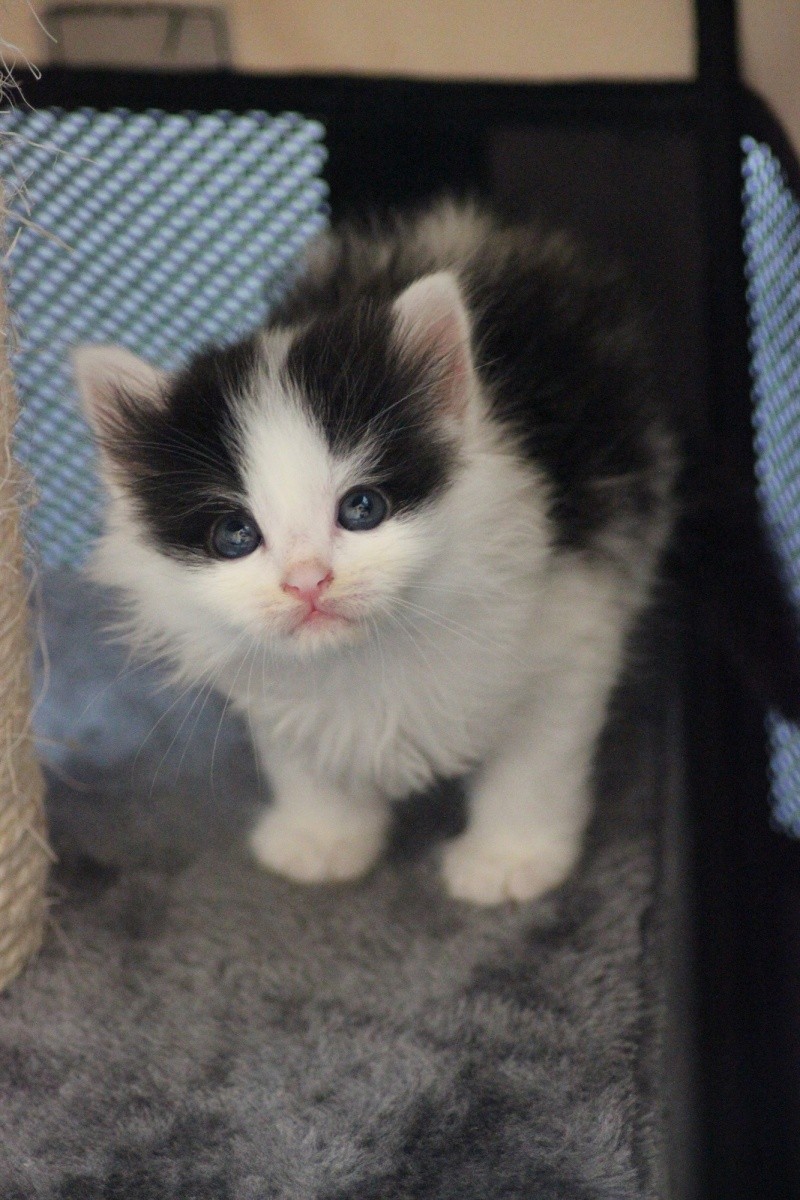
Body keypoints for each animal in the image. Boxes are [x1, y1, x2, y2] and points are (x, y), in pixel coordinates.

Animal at [73, 204, 676, 902]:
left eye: (362, 508)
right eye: (235, 536)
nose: (308, 581)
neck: (368, 655)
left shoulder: (572, 620)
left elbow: (534, 761)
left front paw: (508, 860)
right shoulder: (271, 680)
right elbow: (301, 754)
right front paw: (322, 838)